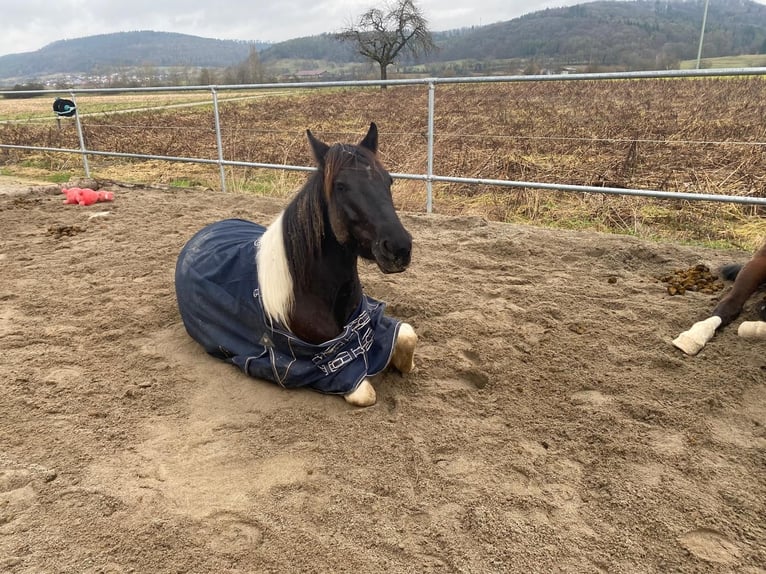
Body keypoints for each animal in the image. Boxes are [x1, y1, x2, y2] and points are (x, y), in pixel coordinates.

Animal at [176, 124, 420, 408]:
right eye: (340, 186)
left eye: (388, 180)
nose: (399, 248)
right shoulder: (327, 367)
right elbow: (365, 392)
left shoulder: (373, 321)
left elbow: (407, 335)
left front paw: (408, 365)